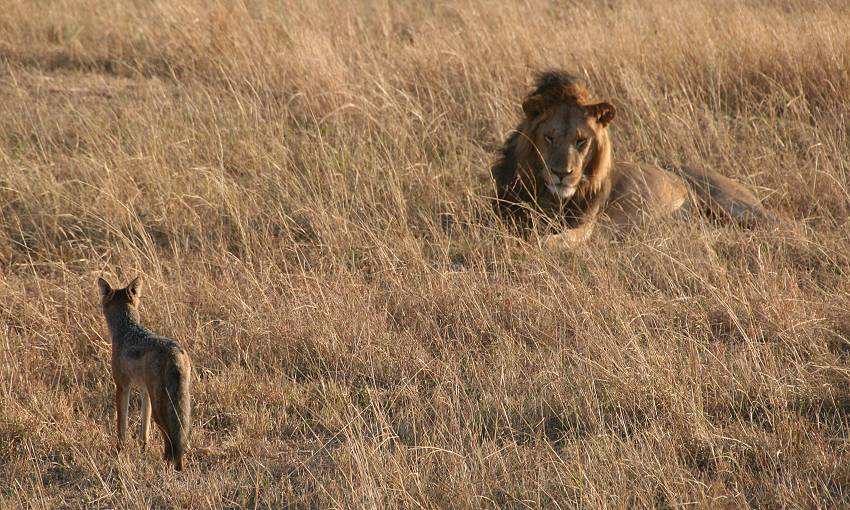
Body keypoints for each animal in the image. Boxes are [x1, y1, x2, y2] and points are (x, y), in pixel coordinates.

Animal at [490, 71, 776, 247]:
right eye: (549, 138)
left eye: (581, 140)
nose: (562, 173)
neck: (552, 197)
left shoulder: (589, 225)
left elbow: (553, 240)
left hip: (735, 207)